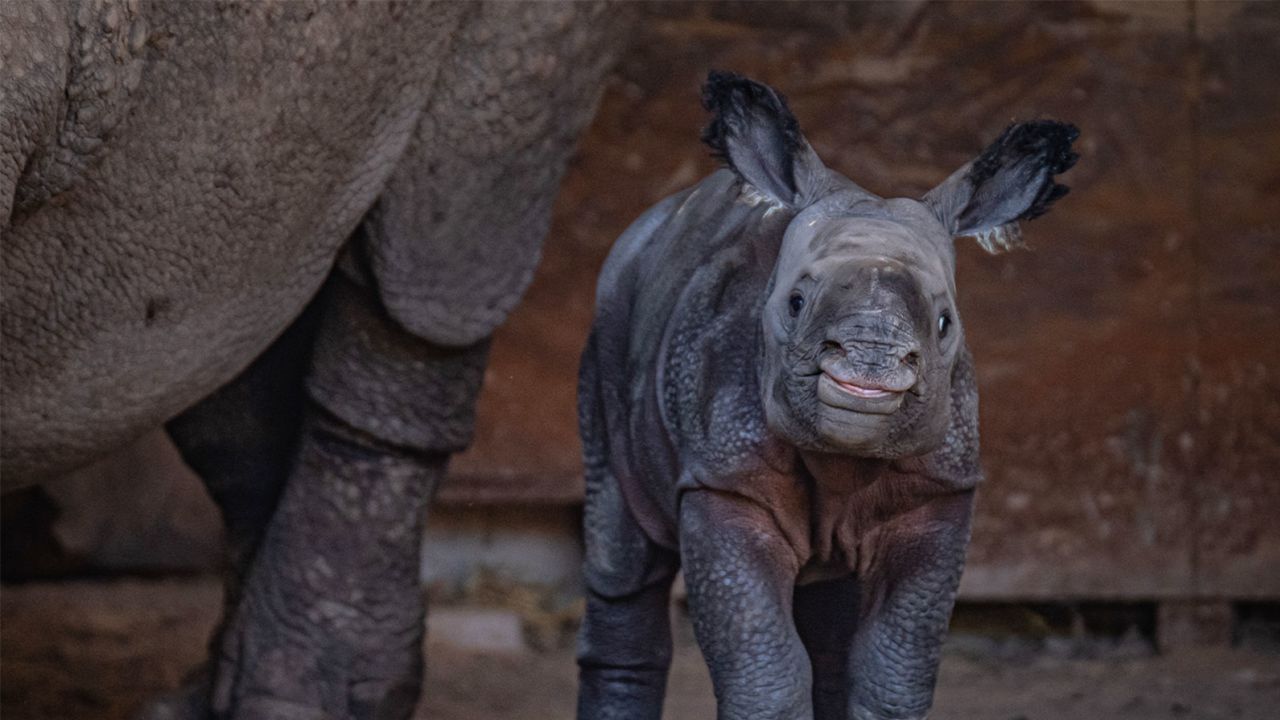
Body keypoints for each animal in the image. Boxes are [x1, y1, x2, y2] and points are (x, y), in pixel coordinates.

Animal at [576, 71, 1075, 717]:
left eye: (944, 322)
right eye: (795, 303)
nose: (870, 361)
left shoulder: (940, 489)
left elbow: (894, 670)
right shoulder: (722, 477)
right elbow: (763, 667)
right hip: (609, 322)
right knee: (623, 563)